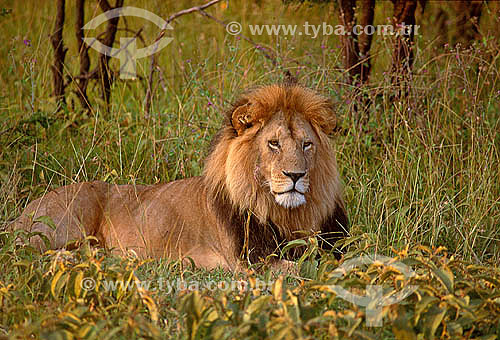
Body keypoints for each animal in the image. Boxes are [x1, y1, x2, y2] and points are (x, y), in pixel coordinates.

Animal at [10, 83, 348, 270]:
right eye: (274, 143)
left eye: (306, 144)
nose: (295, 175)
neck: (286, 213)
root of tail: (22, 213)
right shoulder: (250, 264)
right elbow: (302, 270)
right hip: (67, 219)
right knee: (30, 254)